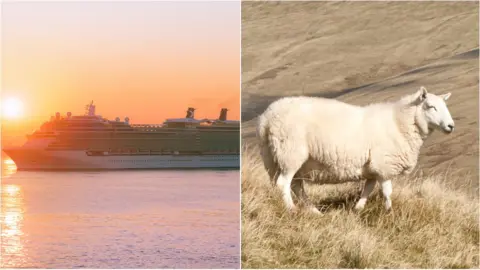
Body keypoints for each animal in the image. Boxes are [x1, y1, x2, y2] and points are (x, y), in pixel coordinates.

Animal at [255, 86, 454, 213]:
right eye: (431, 107)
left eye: (445, 106)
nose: (451, 126)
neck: (399, 122)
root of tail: (267, 118)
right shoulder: (384, 165)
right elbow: (387, 192)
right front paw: (389, 212)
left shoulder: (373, 168)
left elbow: (368, 188)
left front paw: (357, 209)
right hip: (290, 153)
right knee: (284, 183)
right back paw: (291, 209)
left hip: (273, 157)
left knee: (295, 186)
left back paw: (313, 211)